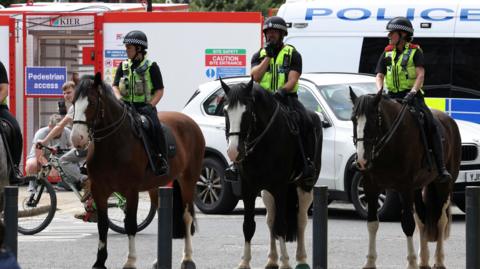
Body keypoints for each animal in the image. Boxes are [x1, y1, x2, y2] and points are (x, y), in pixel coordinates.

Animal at [70, 73, 204, 268]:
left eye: (92, 102)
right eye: (73, 102)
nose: (77, 139)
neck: (113, 145)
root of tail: (190, 121)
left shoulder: (131, 191)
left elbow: (130, 224)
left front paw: (130, 260)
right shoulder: (99, 190)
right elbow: (102, 225)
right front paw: (99, 261)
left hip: (188, 180)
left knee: (186, 216)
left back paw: (187, 258)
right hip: (156, 186)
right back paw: (159, 261)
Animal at [221, 78, 322, 268]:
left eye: (247, 111)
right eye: (225, 111)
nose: (233, 151)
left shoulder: (280, 187)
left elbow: (281, 225)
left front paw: (286, 263)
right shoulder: (248, 189)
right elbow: (249, 226)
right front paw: (244, 262)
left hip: (304, 186)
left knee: (301, 219)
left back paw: (301, 259)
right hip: (267, 192)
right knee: (270, 220)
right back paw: (272, 259)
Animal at [350, 90, 464, 268]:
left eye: (374, 120)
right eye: (353, 119)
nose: (361, 160)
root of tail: (450, 120)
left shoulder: (405, 188)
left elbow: (408, 224)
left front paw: (411, 262)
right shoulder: (371, 187)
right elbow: (372, 224)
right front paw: (370, 261)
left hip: (444, 186)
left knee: (441, 220)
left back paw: (438, 260)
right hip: (418, 188)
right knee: (423, 218)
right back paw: (423, 259)